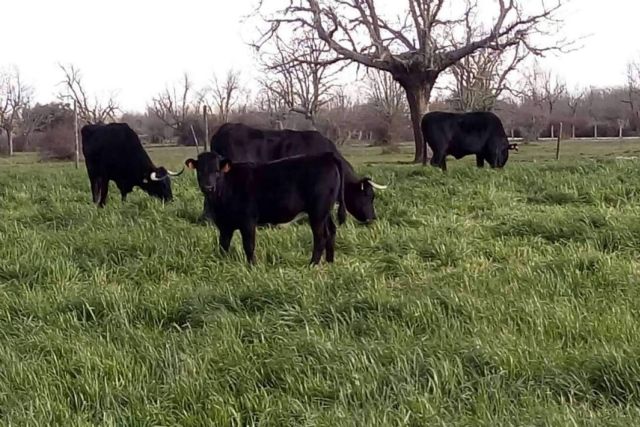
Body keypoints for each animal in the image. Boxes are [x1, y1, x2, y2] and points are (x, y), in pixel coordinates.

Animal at [184, 152, 344, 266]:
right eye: (199, 171)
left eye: (217, 171)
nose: (208, 187)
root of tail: (326, 156)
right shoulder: (225, 224)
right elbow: (223, 245)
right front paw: (221, 263)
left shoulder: (248, 220)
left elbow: (249, 245)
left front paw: (253, 266)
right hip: (325, 212)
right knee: (331, 231)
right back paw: (330, 262)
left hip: (317, 212)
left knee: (320, 236)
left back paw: (312, 264)